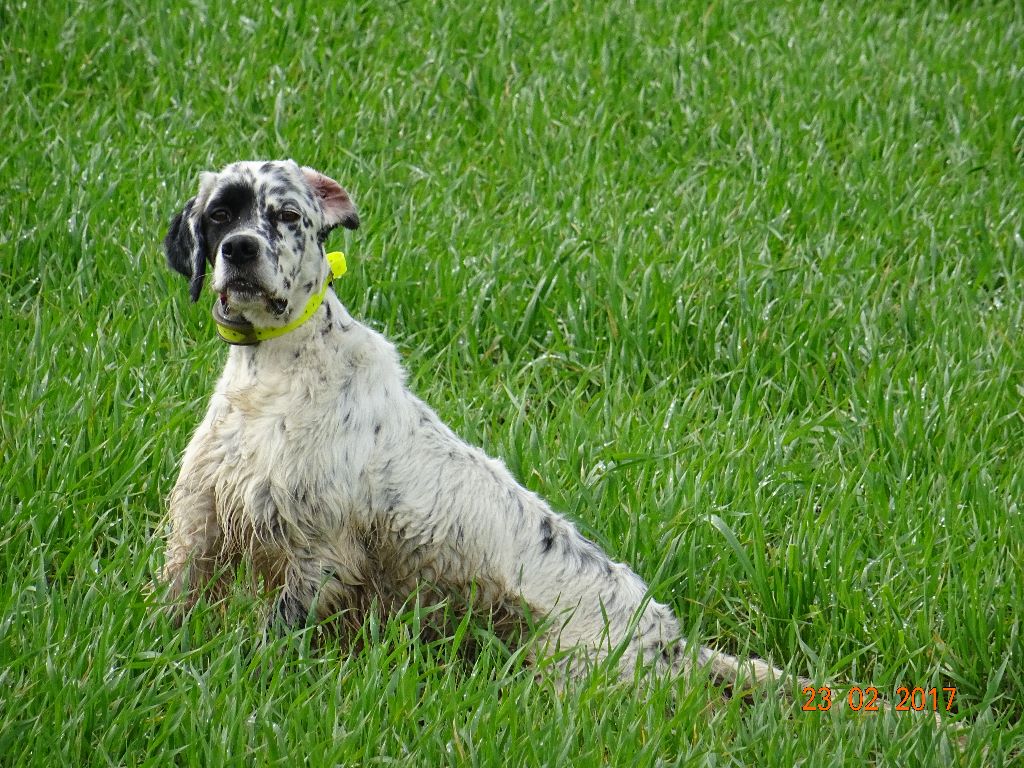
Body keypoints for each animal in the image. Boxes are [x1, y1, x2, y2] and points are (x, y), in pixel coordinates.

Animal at [159, 160, 786, 692]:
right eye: (219, 215)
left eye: (287, 214)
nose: (240, 249)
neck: (274, 374)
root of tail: (673, 644)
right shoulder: (202, 519)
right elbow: (176, 600)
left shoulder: (319, 550)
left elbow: (273, 630)